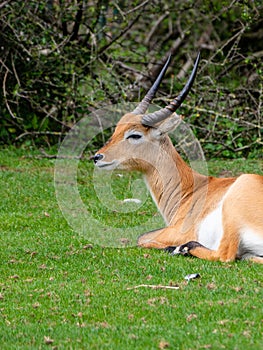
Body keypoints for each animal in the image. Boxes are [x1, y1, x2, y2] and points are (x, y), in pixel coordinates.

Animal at [93, 53, 263, 264]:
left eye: (135, 135)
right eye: (117, 129)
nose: (97, 157)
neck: (191, 190)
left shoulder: (175, 231)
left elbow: (142, 238)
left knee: (224, 255)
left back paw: (181, 248)